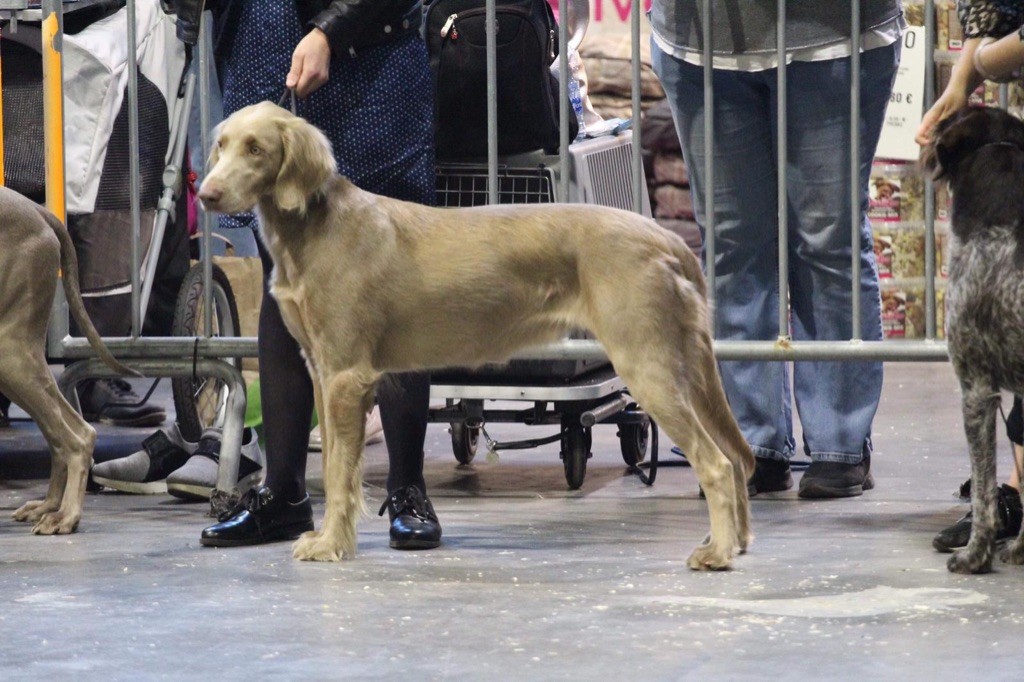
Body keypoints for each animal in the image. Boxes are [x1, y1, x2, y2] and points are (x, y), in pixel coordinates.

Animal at [1, 184, 137, 532]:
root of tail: (38, 211)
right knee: (65, 435)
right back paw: (49, 506)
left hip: (10, 352)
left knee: (76, 437)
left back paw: (66, 516)